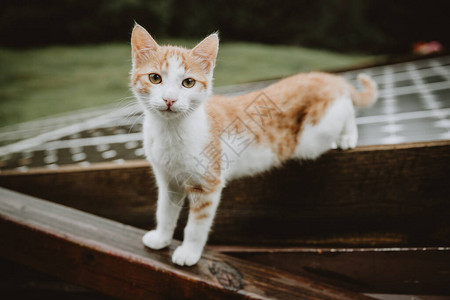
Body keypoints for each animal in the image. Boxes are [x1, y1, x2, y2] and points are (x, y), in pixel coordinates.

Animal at [130, 24, 376, 268]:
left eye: (188, 82)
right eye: (155, 78)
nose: (169, 100)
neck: (169, 131)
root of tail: (326, 77)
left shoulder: (208, 184)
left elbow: (197, 226)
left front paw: (189, 252)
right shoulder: (168, 181)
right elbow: (165, 212)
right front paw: (161, 238)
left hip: (313, 136)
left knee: (345, 107)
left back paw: (348, 136)